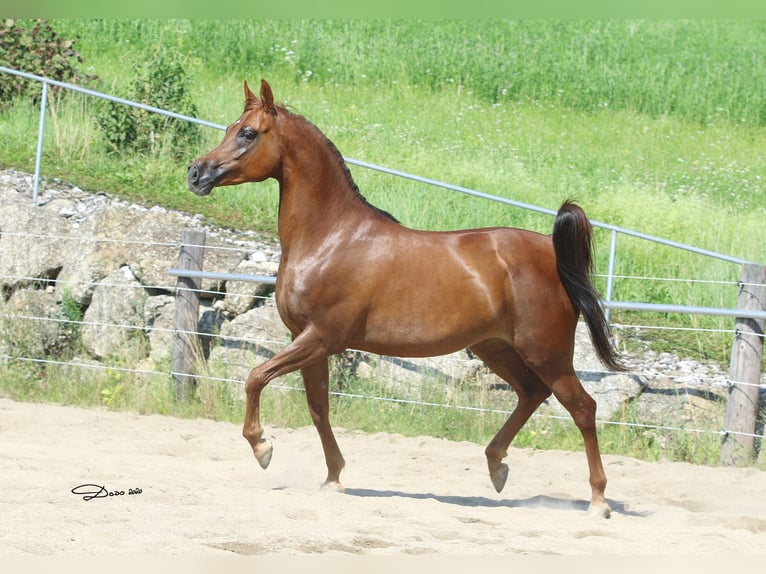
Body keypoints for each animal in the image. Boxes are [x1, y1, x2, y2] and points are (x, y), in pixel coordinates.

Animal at [187, 79, 625, 518]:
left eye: (248, 133)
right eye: (230, 128)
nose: (195, 173)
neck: (330, 236)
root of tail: (551, 253)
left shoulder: (321, 337)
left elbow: (255, 377)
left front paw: (262, 447)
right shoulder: (307, 340)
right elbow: (318, 408)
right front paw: (333, 478)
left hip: (547, 353)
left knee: (583, 408)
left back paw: (598, 500)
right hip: (495, 348)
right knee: (532, 393)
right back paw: (497, 467)